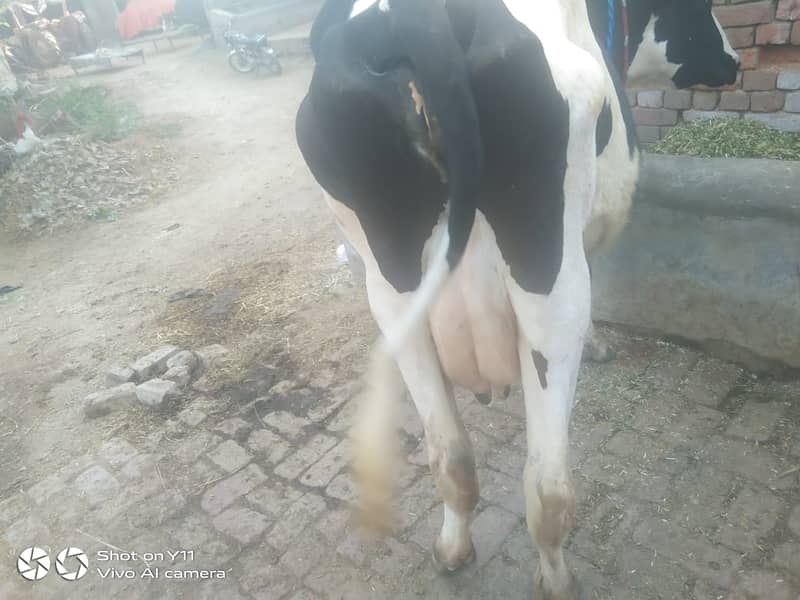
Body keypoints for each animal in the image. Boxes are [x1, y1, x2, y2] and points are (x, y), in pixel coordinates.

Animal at [295, 0, 738, 598]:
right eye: (702, 11)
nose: (735, 62)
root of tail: (417, 16)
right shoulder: (588, 234)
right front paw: (600, 343)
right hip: (548, 273)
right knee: (548, 480)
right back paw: (556, 578)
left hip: (392, 289)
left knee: (450, 454)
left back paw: (452, 548)